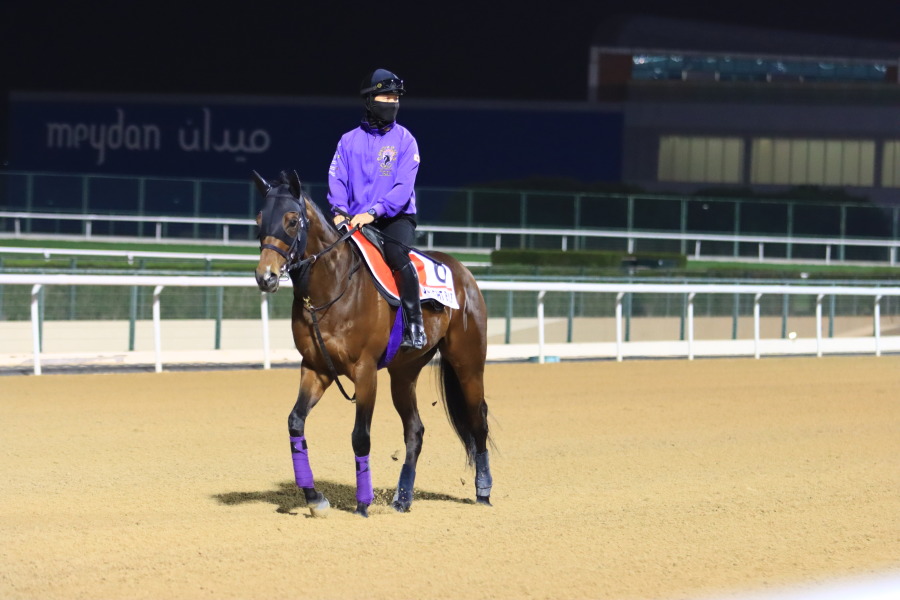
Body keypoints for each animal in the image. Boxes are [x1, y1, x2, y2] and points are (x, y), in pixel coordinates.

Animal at [251, 171, 492, 516]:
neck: (335, 287)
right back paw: (403, 497)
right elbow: (295, 423)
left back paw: (483, 490)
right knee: (415, 430)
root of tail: (463, 273)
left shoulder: (365, 372)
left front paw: (363, 503)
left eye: (293, 220)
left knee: (478, 421)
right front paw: (314, 497)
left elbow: (360, 436)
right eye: (260, 219)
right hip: (403, 374)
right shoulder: (315, 368)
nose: (266, 276)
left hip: (468, 364)